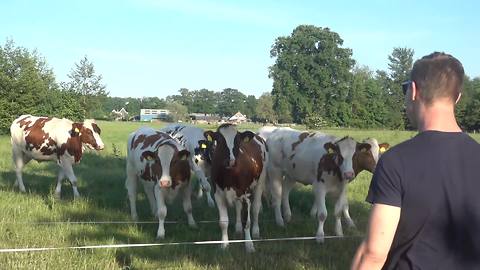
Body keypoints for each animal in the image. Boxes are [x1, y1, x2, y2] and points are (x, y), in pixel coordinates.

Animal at [204, 123, 268, 252]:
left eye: (237, 140)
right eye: (219, 140)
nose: (231, 161)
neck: (230, 174)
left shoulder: (246, 195)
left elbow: (247, 221)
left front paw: (249, 244)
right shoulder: (218, 194)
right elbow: (223, 222)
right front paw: (224, 244)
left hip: (260, 182)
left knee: (256, 208)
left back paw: (256, 231)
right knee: (238, 207)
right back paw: (238, 229)